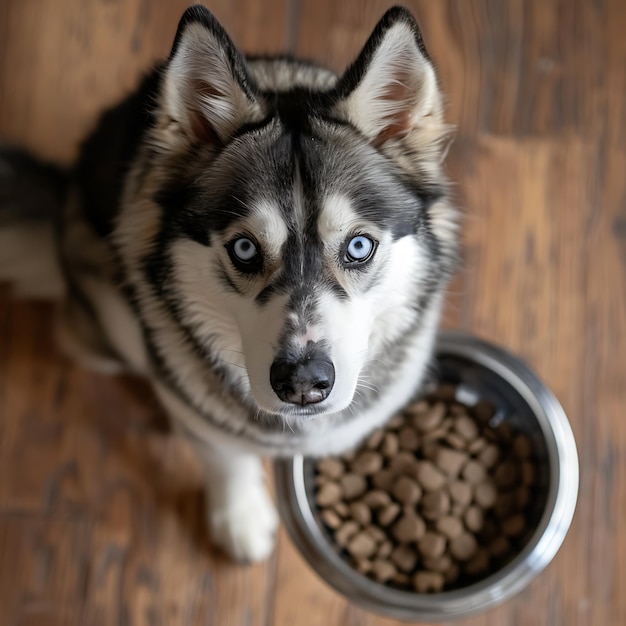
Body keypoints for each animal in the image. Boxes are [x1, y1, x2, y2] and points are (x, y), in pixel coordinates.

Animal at [1, 4, 458, 560]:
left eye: (358, 247)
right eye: (244, 249)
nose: (302, 383)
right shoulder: (205, 421)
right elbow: (223, 456)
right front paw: (238, 517)